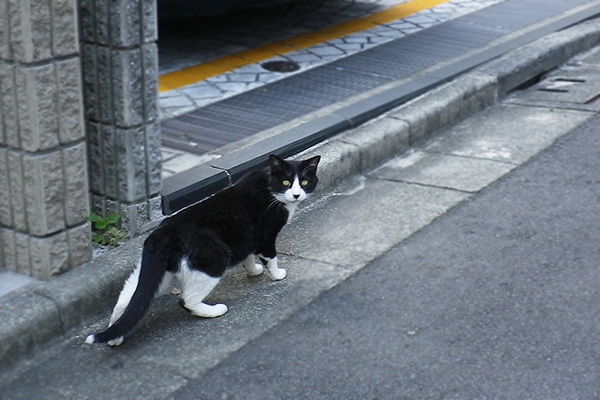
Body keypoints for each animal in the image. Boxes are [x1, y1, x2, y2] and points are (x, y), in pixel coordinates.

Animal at [85, 155, 318, 346]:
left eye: (304, 182)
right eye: (286, 182)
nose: (296, 195)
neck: (270, 187)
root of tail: (159, 236)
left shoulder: (247, 237)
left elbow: (248, 255)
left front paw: (253, 271)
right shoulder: (266, 235)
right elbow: (270, 256)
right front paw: (277, 274)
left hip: (153, 272)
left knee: (127, 298)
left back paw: (114, 337)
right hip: (211, 261)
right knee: (186, 300)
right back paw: (215, 310)